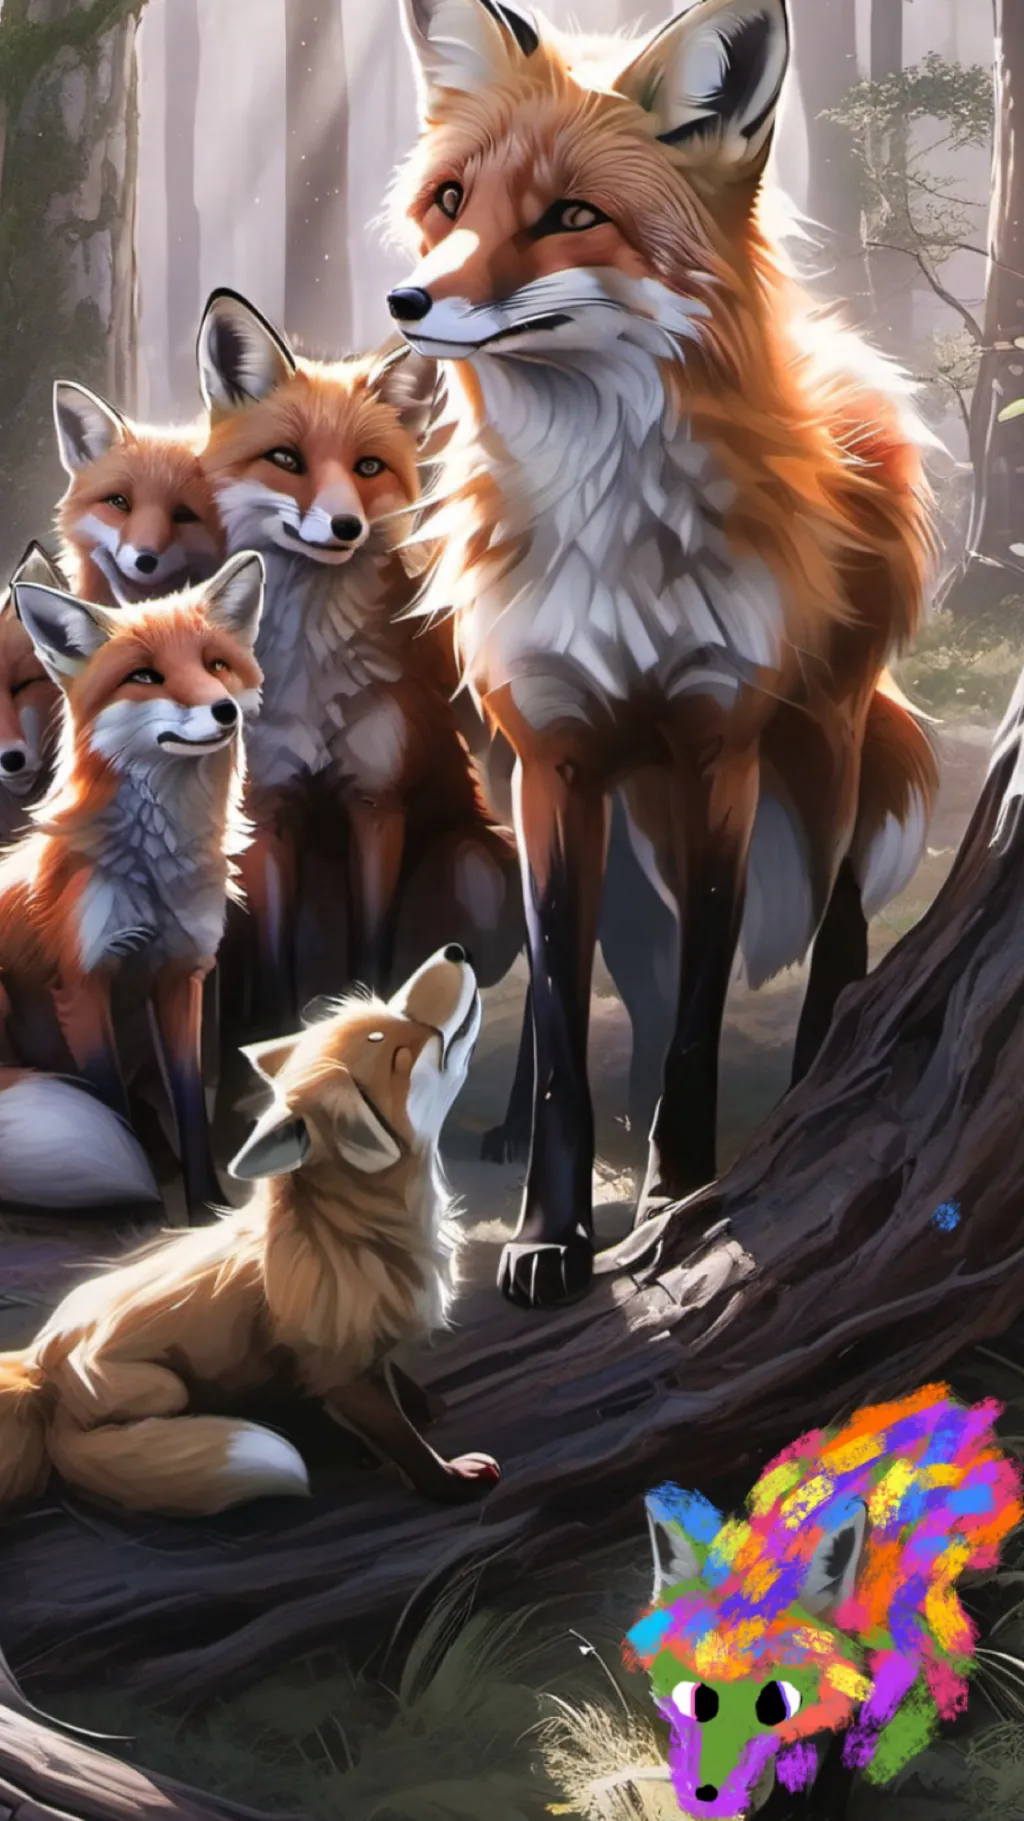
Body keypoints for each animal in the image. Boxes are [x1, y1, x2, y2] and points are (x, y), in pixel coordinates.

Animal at [0, 553, 264, 1219]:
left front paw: (206, 1211)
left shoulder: (181, 976)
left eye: (216, 665)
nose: (225, 710)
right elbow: (113, 1110)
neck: (153, 875)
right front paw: (144, 1214)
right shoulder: (82, 983)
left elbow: (191, 1110)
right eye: (145, 677)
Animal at [0, 946, 499, 1516]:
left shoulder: (366, 1346)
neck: (358, 1233)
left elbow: (396, 1380)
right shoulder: (339, 1371)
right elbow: (402, 1439)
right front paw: (448, 1481)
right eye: (398, 1047)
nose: (454, 951)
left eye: (390, 1012)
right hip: (160, 1388)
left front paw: (422, 1405)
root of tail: (37, 1364)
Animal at [196, 287, 521, 1038]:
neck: (313, 674)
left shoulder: (377, 804)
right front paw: (275, 1040)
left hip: (472, 864)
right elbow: (277, 961)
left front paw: (370, 1016)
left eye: (368, 468)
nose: (346, 526)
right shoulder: (270, 810)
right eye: (286, 459)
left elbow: (374, 946)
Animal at [392, 0, 938, 1308]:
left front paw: (673, 1200)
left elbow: (696, 1001)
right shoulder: (551, 758)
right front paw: (550, 1230)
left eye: (569, 216)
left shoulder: (715, 750)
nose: (406, 302)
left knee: (838, 918)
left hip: (822, 746)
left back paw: (807, 1081)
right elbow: (558, 1010)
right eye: (450, 200)